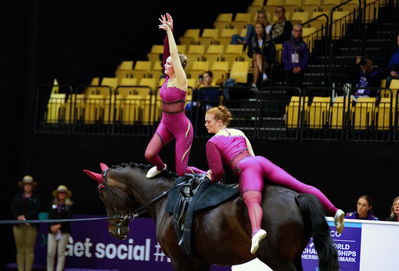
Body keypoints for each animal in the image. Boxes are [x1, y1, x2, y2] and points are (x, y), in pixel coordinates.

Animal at [83, 164, 340, 271]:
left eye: (101, 191)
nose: (114, 229)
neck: (165, 195)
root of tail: (296, 196)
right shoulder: (201, 262)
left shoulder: (181, 262)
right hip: (292, 258)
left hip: (280, 262)